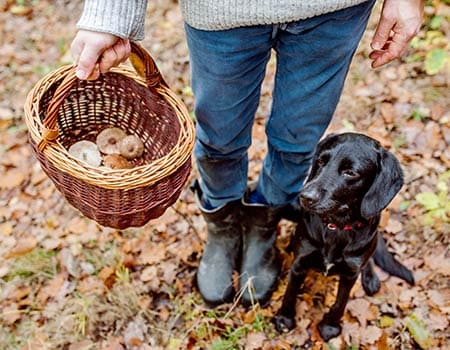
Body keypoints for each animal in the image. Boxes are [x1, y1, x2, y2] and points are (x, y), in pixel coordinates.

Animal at [274, 133, 414, 340]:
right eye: (321, 162)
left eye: (350, 172)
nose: (305, 196)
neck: (337, 227)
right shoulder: (299, 264)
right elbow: (290, 292)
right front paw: (284, 319)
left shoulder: (350, 273)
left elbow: (341, 301)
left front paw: (330, 326)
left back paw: (371, 278)